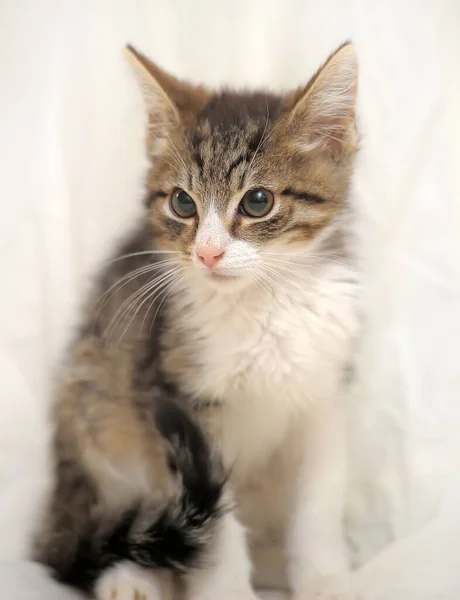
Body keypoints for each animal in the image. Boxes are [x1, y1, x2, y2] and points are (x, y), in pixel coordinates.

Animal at [35, 42, 360, 600]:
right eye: (183, 202)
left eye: (257, 201)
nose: (207, 253)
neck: (262, 305)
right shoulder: (180, 402)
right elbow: (214, 524)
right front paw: (226, 590)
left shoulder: (325, 393)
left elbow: (318, 501)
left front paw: (324, 580)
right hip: (97, 393)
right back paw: (131, 575)